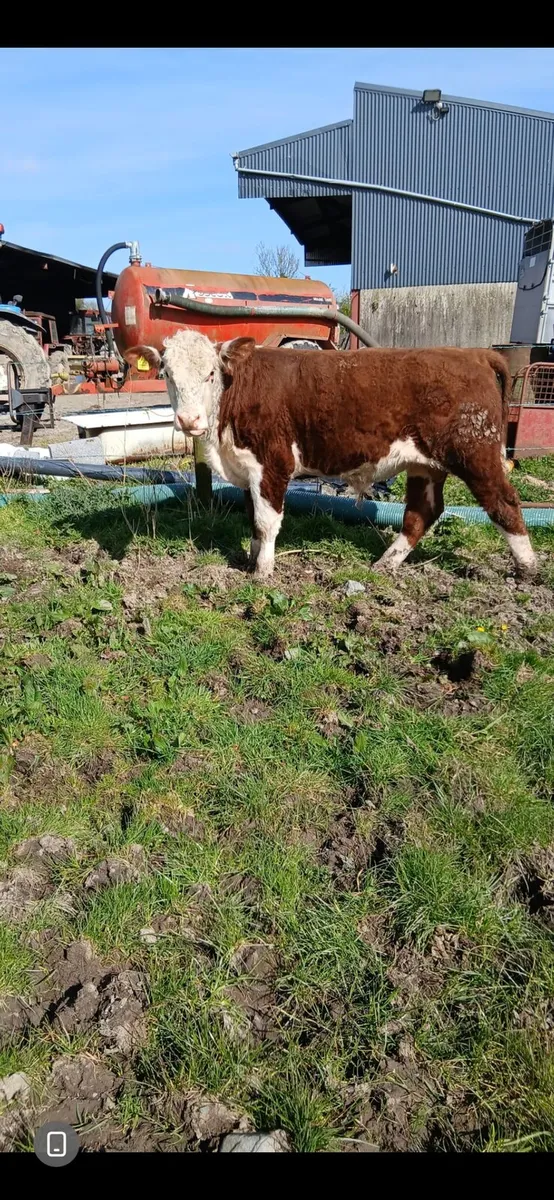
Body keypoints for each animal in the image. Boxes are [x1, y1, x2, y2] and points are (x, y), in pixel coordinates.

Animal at [131, 332, 536, 581]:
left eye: (210, 374)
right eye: (166, 373)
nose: (189, 420)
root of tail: (474, 354)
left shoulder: (272, 463)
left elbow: (266, 521)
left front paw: (262, 572)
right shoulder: (247, 470)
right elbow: (252, 520)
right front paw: (251, 558)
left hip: (475, 452)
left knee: (504, 503)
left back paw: (527, 568)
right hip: (426, 464)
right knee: (423, 513)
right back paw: (385, 564)